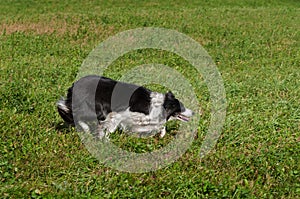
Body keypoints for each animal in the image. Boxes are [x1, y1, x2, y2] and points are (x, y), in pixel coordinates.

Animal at [56, 75, 192, 139]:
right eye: (182, 108)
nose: (193, 113)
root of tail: (73, 86)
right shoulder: (120, 115)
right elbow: (109, 129)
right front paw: (105, 140)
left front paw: (162, 134)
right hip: (97, 109)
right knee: (72, 112)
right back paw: (86, 129)